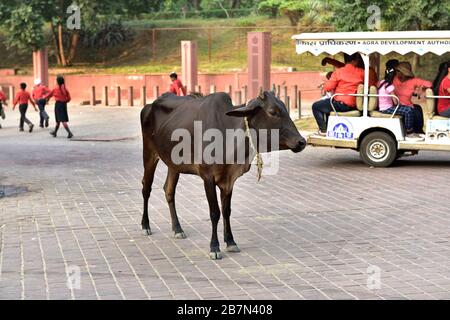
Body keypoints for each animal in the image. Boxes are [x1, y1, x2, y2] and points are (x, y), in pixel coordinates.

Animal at [141, 90, 306, 260]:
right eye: (273, 112)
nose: (301, 142)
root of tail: (150, 105)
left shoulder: (228, 180)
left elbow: (227, 211)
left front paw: (231, 241)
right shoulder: (207, 177)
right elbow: (215, 212)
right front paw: (214, 247)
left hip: (173, 165)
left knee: (169, 190)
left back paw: (177, 229)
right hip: (149, 154)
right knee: (146, 188)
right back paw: (146, 225)